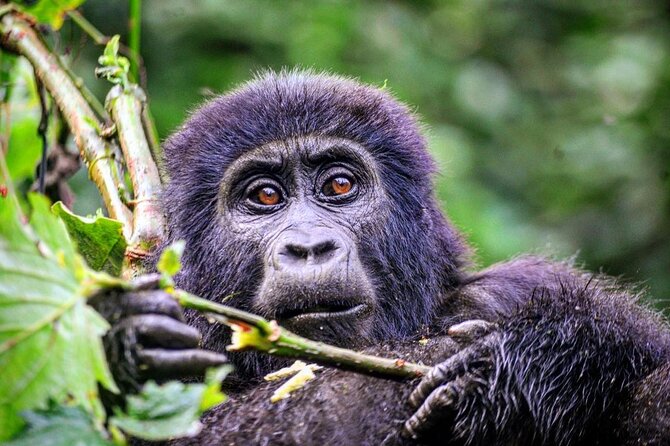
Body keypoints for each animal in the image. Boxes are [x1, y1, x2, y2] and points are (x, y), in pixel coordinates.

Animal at [99, 70, 670, 445]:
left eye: (339, 185)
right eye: (265, 195)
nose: (309, 246)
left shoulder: (522, 284)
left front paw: (519, 361)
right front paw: (126, 337)